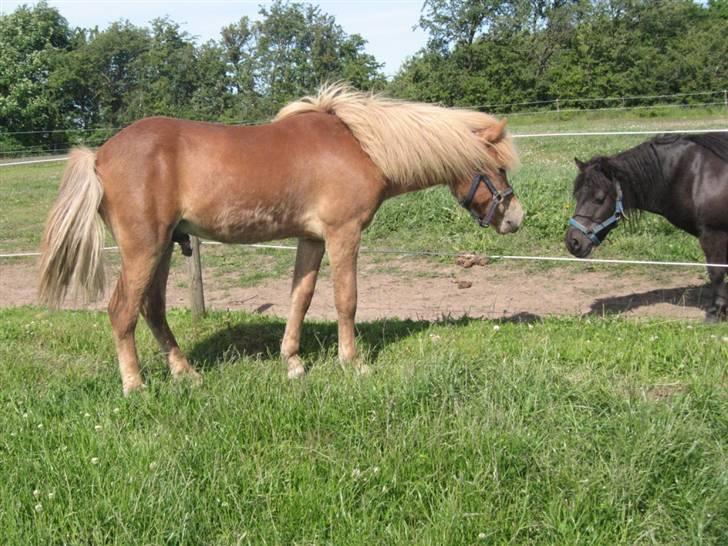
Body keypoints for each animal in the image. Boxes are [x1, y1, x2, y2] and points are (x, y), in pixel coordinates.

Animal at [38, 84, 524, 392]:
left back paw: (186, 374)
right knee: (122, 310)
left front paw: (292, 362)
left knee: (152, 309)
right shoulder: (344, 234)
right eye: (499, 166)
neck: (362, 145)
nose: (516, 217)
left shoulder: (311, 239)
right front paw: (353, 362)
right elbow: (346, 299)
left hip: (163, 249)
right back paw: (135, 385)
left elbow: (300, 298)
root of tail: (98, 155)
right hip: (145, 248)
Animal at [564, 131, 728, 318]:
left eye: (599, 198)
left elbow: (716, 272)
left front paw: (716, 312)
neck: (696, 175)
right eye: (577, 195)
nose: (573, 242)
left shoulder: (713, 234)